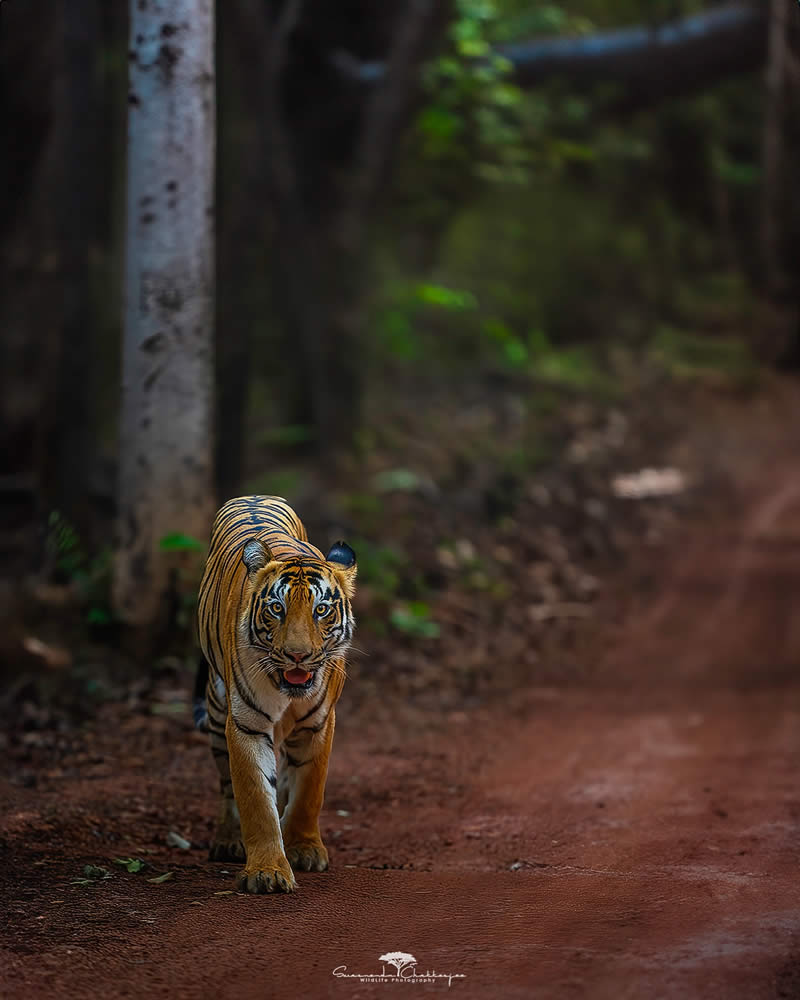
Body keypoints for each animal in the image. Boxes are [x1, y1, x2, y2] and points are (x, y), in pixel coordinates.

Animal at [194, 496, 356, 896]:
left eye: (321, 609)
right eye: (277, 609)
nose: (298, 655)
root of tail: (254, 496)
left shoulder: (319, 725)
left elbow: (308, 791)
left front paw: (304, 849)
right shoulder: (246, 725)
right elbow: (254, 798)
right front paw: (266, 872)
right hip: (217, 710)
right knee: (227, 787)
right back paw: (228, 840)